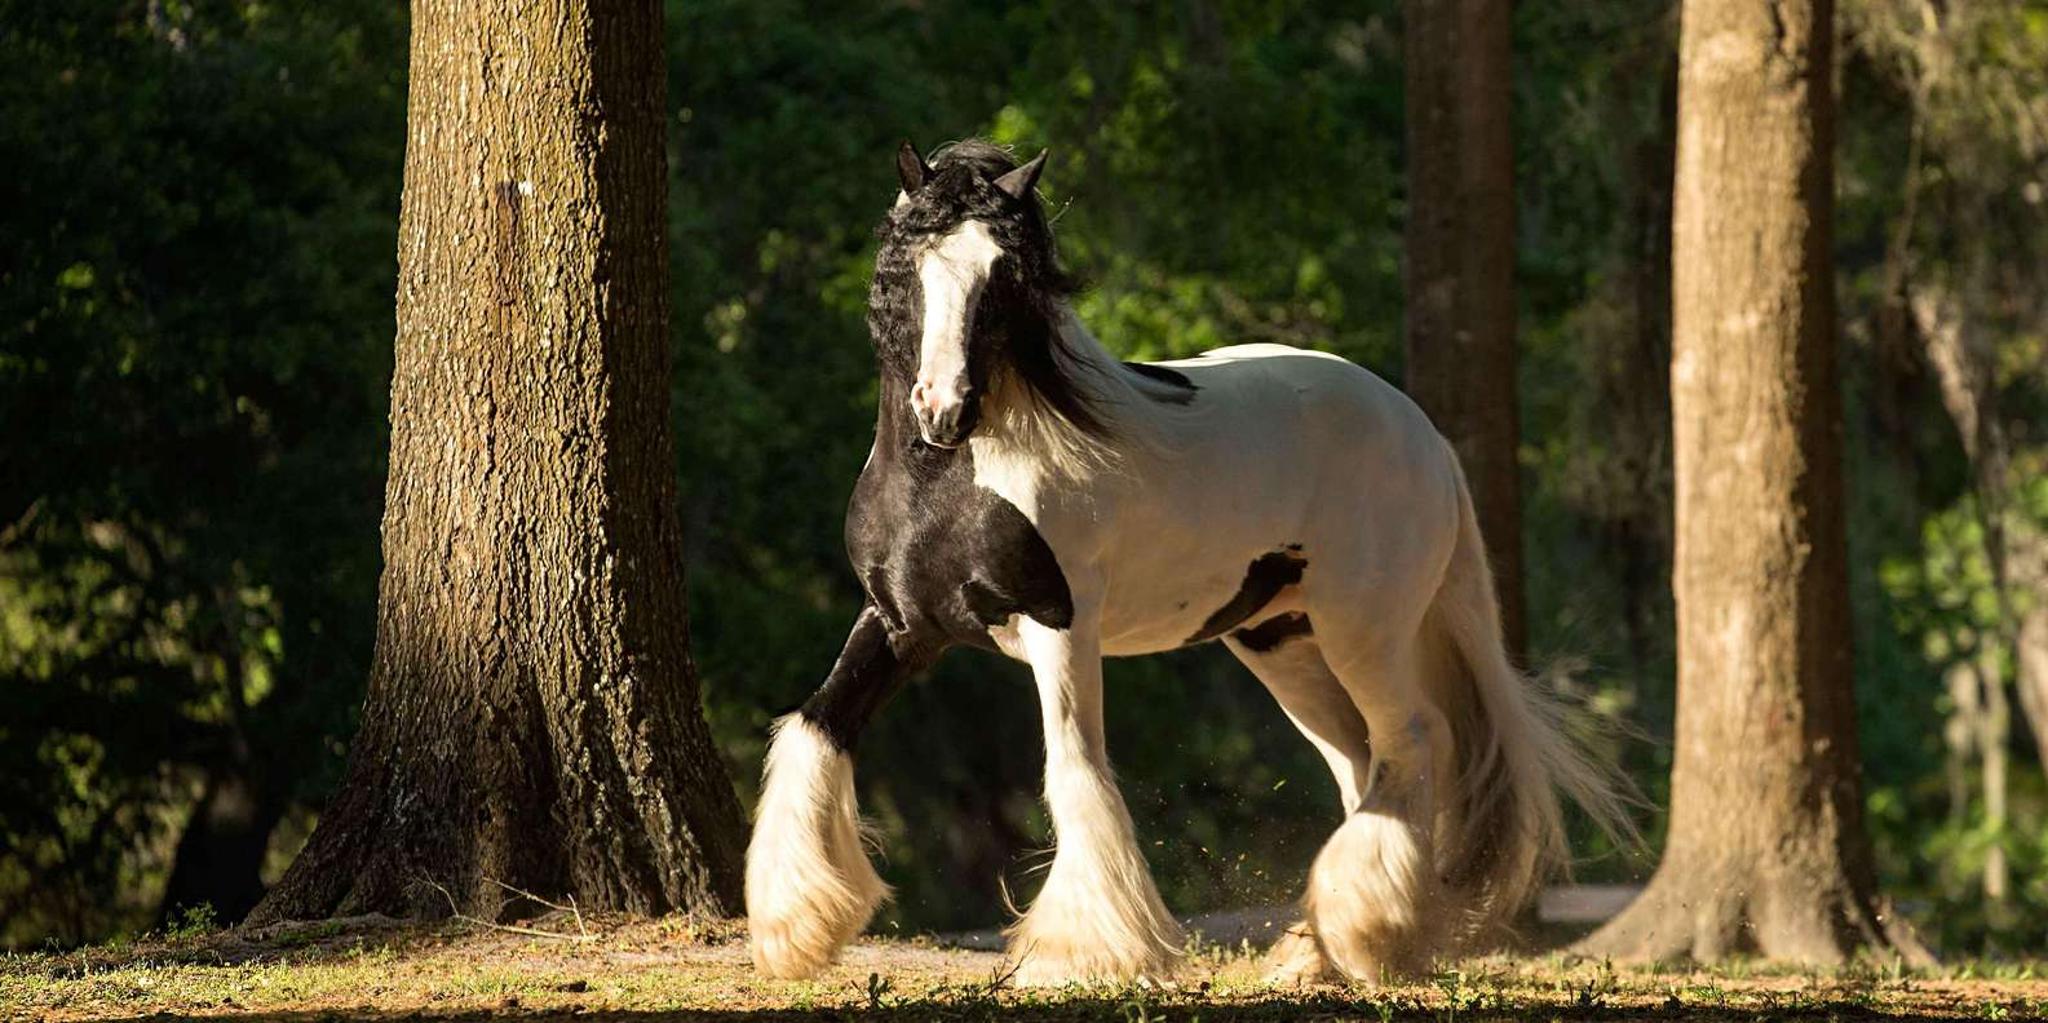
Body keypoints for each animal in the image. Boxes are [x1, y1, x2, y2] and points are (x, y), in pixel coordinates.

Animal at [744, 139, 1629, 986]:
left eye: (1004, 277)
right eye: (908, 266)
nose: (942, 409)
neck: (955, 481)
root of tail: (1422, 432)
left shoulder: (1058, 623)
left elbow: (1074, 766)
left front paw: (1084, 953)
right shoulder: (900, 623)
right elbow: (818, 722)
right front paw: (795, 929)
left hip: (1363, 633)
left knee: (1414, 741)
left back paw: (1369, 936)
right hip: (1281, 641)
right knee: (1362, 763)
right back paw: (1325, 949)